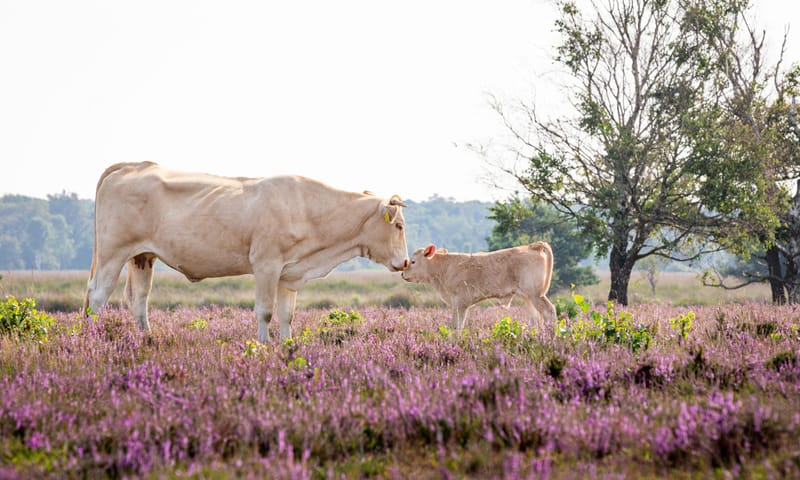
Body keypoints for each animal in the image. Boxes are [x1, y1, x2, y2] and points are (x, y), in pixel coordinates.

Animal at [84, 161, 409, 342]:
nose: (406, 261)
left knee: (138, 299)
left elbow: (287, 314)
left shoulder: (289, 273)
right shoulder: (266, 265)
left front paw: (287, 345)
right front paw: (264, 345)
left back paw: (147, 339)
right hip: (113, 254)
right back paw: (93, 339)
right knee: (97, 297)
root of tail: (135, 165)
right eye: (399, 225)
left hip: (142, 257)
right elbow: (265, 311)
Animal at [401, 242, 556, 331]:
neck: (445, 267)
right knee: (535, 319)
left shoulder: (460, 302)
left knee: (549, 312)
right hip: (527, 297)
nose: (402, 274)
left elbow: (456, 327)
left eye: (413, 261)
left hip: (535, 295)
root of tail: (532, 246)